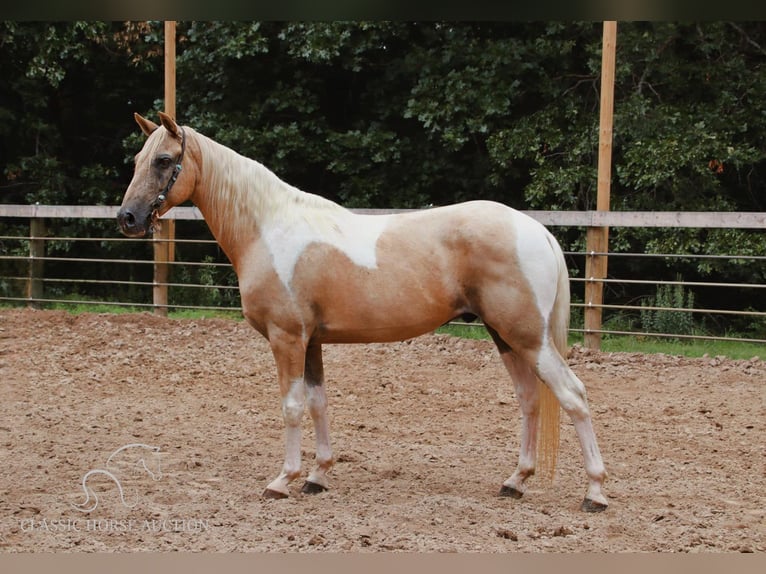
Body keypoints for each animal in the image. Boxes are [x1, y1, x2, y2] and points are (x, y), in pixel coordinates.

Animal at [118, 113, 612, 512]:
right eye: (138, 159)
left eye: (164, 160)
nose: (128, 218)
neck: (269, 229)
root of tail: (534, 229)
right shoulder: (311, 342)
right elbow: (318, 403)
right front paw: (317, 476)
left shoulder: (287, 338)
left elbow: (292, 407)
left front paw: (282, 480)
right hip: (505, 336)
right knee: (530, 398)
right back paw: (516, 481)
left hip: (528, 337)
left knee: (573, 396)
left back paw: (595, 492)